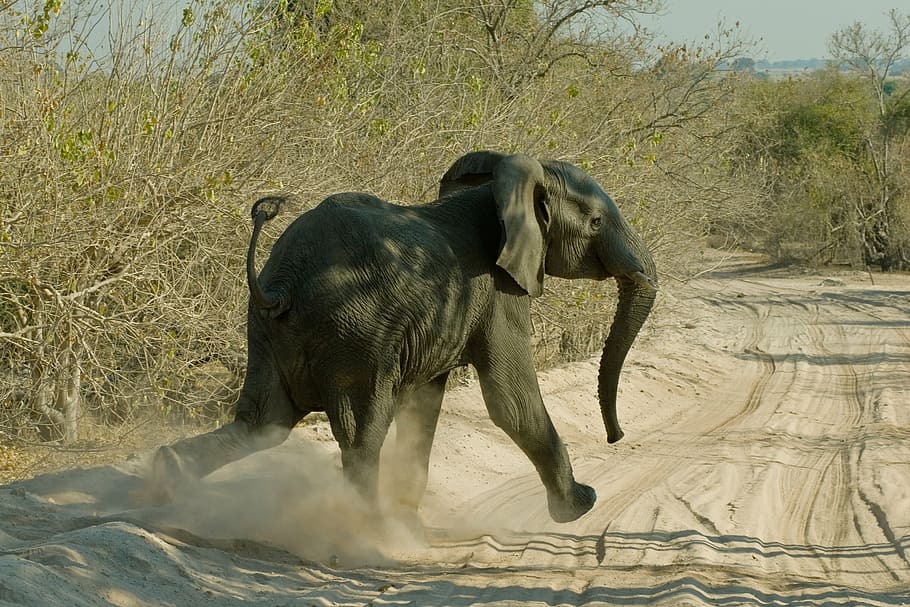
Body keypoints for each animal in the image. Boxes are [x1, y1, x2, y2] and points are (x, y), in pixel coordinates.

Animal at [147, 150, 657, 525]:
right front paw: (581, 506)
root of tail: (282, 282)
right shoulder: (500, 289)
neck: (504, 187)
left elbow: (426, 403)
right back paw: (370, 529)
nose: (616, 436)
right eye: (595, 222)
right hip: (355, 332)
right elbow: (510, 401)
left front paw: (412, 516)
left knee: (262, 421)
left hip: (271, 330)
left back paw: (166, 476)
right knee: (362, 432)